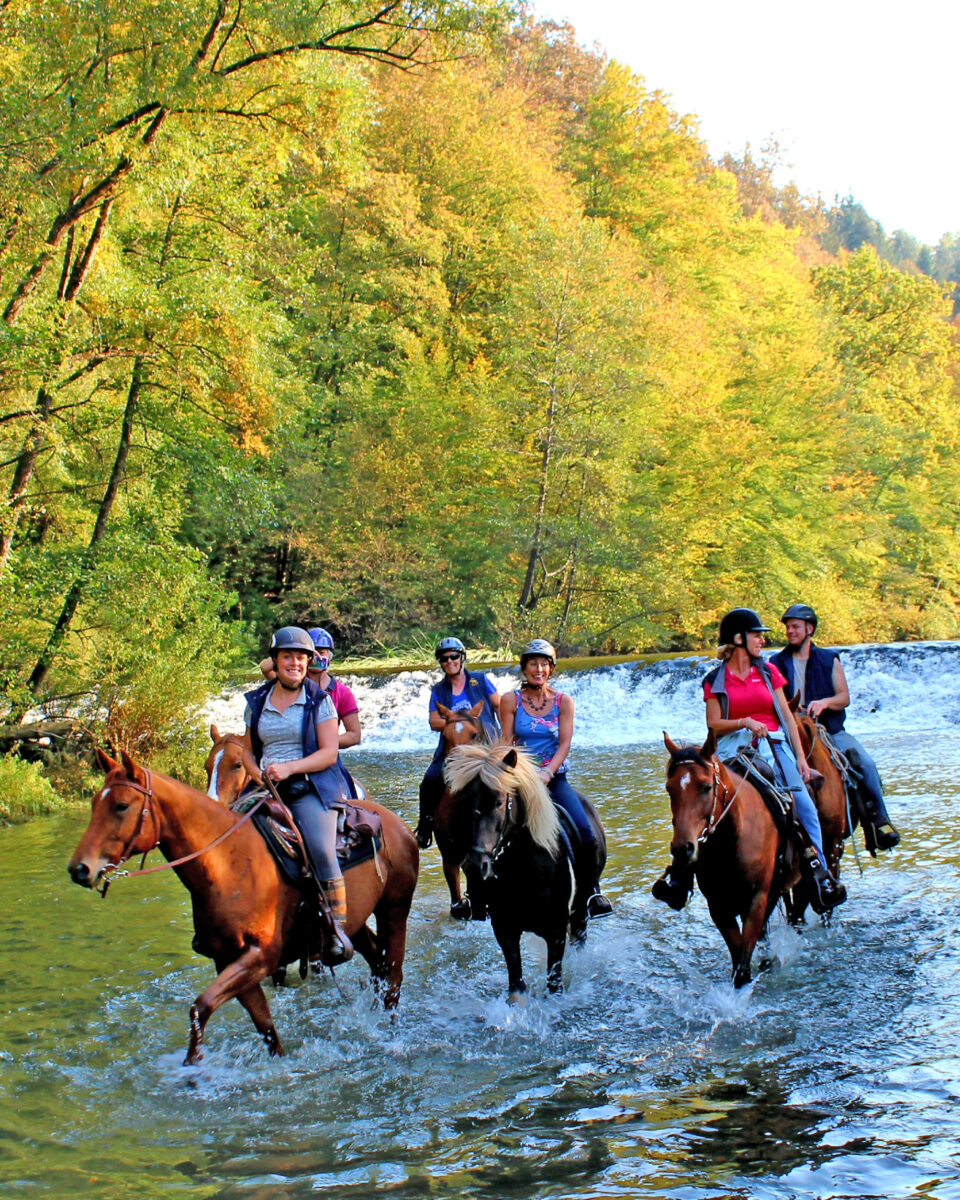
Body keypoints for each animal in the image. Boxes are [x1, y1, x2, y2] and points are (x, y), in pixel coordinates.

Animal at [68, 749, 419, 1064]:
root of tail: (396, 824)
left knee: (393, 976)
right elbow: (261, 1026)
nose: (79, 869)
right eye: (94, 804)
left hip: (394, 911)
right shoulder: (229, 960)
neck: (228, 863)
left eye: (122, 806)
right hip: (352, 925)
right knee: (376, 961)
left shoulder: (261, 957)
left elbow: (201, 1007)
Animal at [447, 743, 606, 999]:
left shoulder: (556, 931)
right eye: (465, 803)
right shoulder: (505, 930)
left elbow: (554, 985)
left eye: (499, 801)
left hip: (580, 910)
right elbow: (516, 987)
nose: (475, 865)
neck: (524, 870)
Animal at [663, 730, 803, 988]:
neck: (730, 842)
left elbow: (744, 963)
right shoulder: (718, 906)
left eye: (707, 787)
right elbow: (738, 956)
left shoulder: (757, 899)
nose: (682, 849)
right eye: (669, 789)